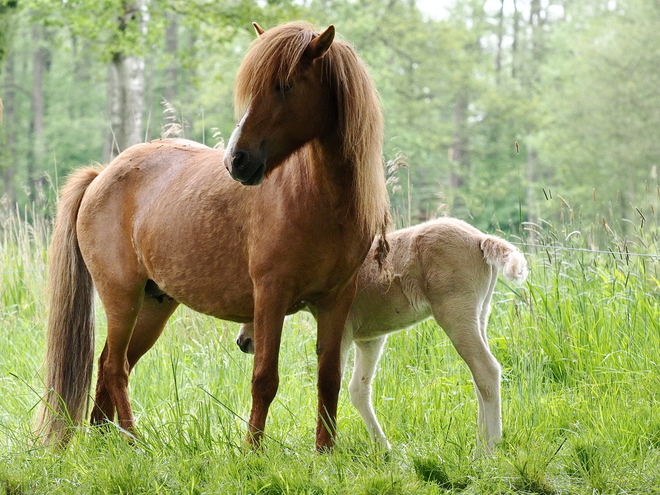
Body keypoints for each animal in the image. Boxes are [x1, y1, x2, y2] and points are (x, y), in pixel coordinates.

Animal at [36, 21, 390, 452]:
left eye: (286, 85)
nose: (237, 161)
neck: (317, 198)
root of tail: (103, 173)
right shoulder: (270, 296)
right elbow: (264, 378)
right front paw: (253, 451)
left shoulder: (336, 301)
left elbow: (328, 379)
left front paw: (324, 452)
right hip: (122, 299)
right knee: (114, 367)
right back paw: (135, 442)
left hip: (153, 306)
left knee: (110, 368)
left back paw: (108, 444)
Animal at [235, 219, 528, 456]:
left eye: (253, 307)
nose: (242, 342)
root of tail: (481, 239)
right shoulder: (370, 339)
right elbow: (358, 389)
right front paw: (383, 449)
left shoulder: (342, 332)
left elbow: (333, 381)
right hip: (479, 314)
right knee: (479, 376)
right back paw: (481, 443)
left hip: (455, 313)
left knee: (486, 370)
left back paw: (488, 451)